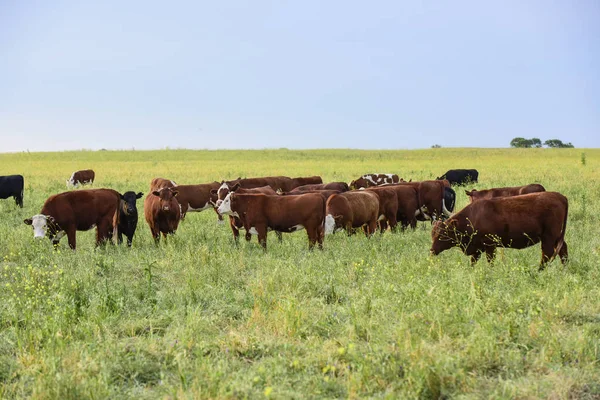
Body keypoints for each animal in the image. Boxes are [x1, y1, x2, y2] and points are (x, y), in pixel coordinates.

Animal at [432, 191, 568, 268]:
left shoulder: (490, 246)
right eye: (432, 234)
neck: (473, 216)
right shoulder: (477, 248)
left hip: (549, 236)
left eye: (442, 234)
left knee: (547, 254)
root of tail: (560, 197)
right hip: (556, 237)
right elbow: (473, 262)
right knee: (562, 249)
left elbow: (490, 262)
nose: (432, 250)